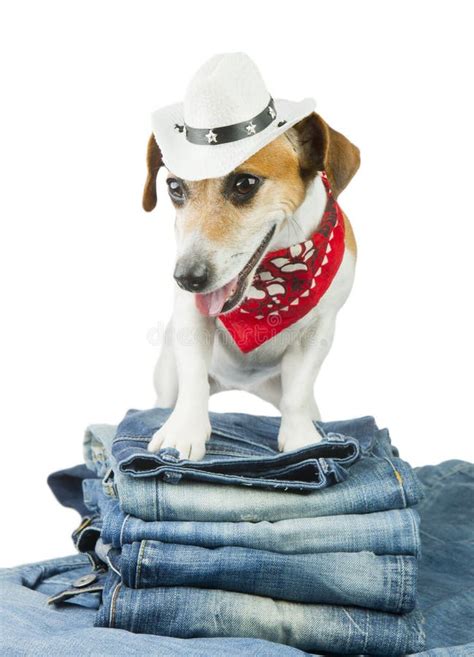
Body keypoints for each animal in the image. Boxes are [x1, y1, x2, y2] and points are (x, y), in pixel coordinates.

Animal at [143, 53, 358, 458]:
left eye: (244, 183)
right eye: (174, 187)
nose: (188, 277)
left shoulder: (321, 328)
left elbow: (297, 394)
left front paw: (301, 440)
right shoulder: (190, 317)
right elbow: (193, 380)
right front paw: (184, 432)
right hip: (166, 373)